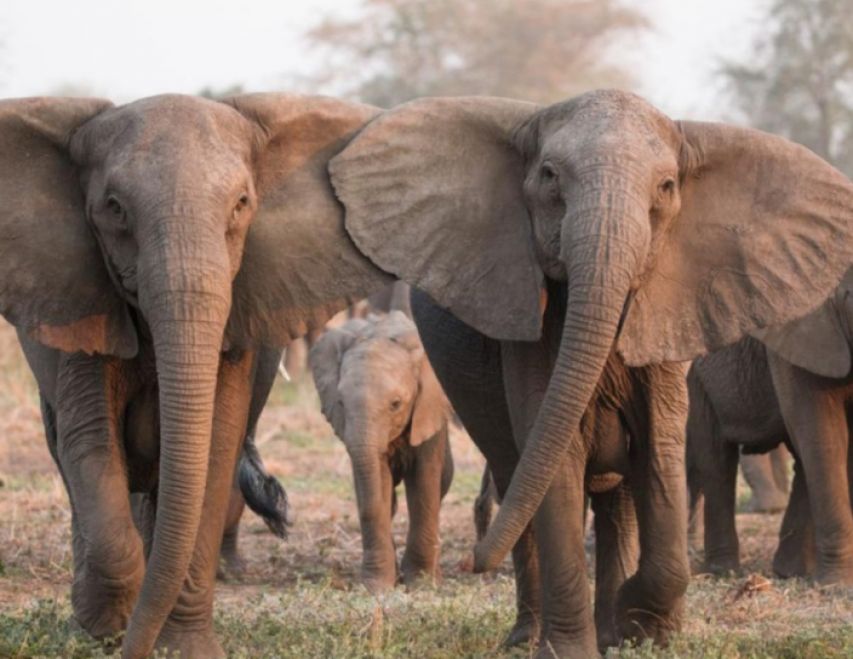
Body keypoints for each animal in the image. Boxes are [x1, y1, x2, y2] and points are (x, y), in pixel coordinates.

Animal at [0, 94, 390, 659]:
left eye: (242, 204)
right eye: (114, 208)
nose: (131, 650)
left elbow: (214, 448)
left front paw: (181, 648)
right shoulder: (83, 305)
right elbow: (91, 441)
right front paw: (108, 628)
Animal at [306, 312, 452, 592]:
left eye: (396, 404)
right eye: (340, 403)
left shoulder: (429, 410)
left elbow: (424, 484)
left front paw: (421, 584)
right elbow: (375, 489)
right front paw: (377, 587)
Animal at [330, 90, 852, 656]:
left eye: (666, 187)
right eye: (549, 176)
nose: (473, 561)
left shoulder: (669, 314)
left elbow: (661, 451)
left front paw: (641, 625)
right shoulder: (531, 330)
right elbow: (556, 462)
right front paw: (579, 645)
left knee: (615, 500)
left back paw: (609, 631)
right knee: (519, 478)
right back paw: (528, 638)